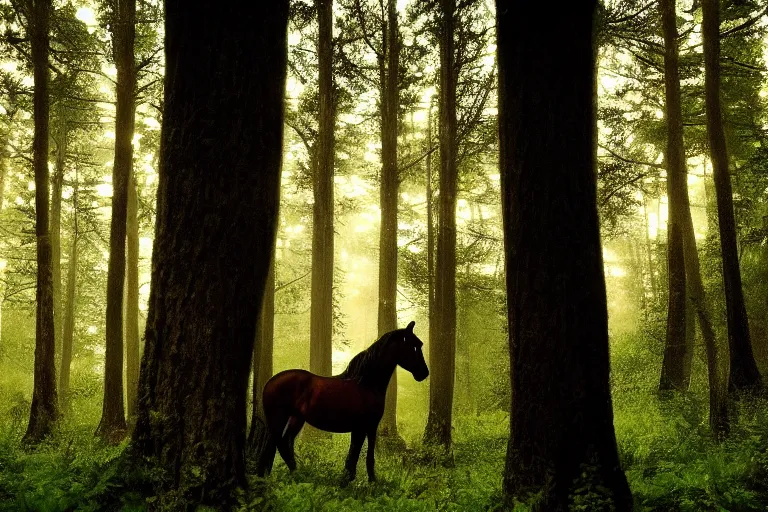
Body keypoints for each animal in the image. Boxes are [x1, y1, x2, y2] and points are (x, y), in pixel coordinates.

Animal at [256, 320, 426, 484]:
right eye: (414, 346)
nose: (424, 373)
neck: (366, 384)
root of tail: (269, 382)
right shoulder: (364, 427)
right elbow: (360, 454)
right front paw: (356, 479)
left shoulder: (366, 427)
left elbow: (362, 455)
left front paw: (359, 479)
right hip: (278, 420)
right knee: (278, 445)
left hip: (295, 419)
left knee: (282, 444)